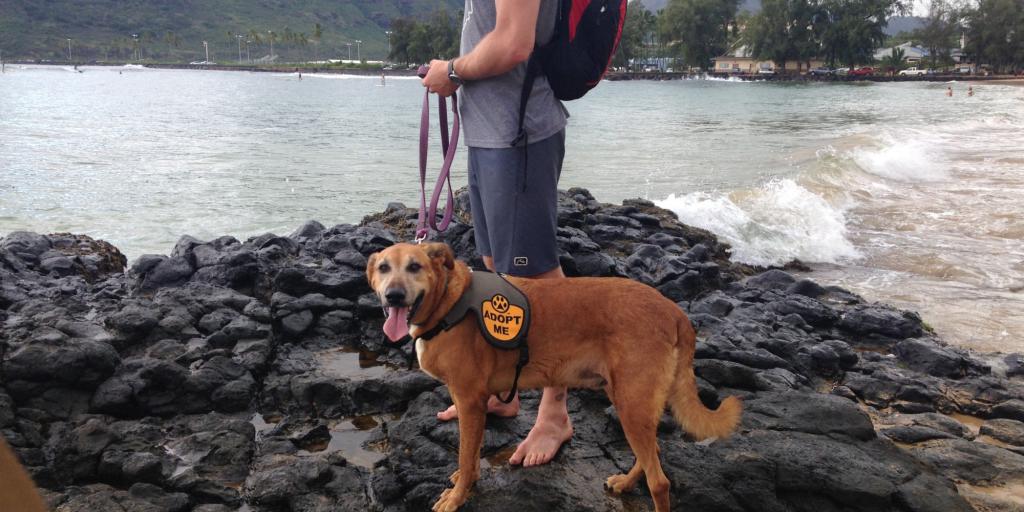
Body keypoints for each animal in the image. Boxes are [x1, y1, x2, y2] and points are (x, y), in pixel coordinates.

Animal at [368, 242, 745, 512]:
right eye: (384, 268)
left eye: (415, 266)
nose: (394, 296)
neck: (449, 300)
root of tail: (675, 312)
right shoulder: (472, 406)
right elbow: (471, 455)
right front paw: (466, 477)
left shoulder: (470, 401)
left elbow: (464, 452)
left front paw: (458, 496)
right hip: (629, 400)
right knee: (651, 451)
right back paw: (625, 481)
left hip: (631, 404)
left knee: (660, 483)